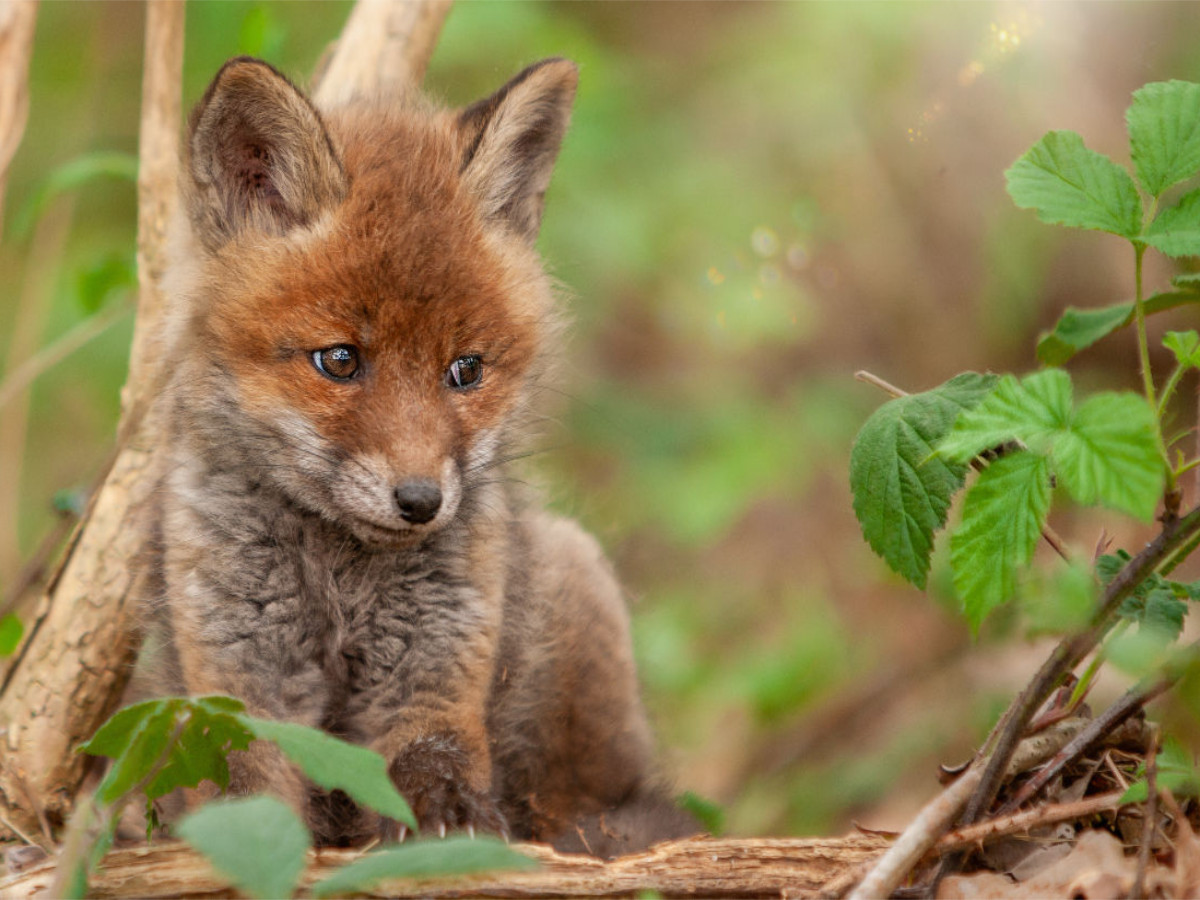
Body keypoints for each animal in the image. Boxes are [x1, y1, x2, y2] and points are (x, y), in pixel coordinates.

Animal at [136, 56, 700, 859]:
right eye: (340, 360)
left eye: (465, 370)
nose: (421, 502)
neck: (340, 579)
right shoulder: (239, 673)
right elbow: (243, 799)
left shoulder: (436, 663)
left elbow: (435, 758)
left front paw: (455, 826)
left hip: (573, 582)